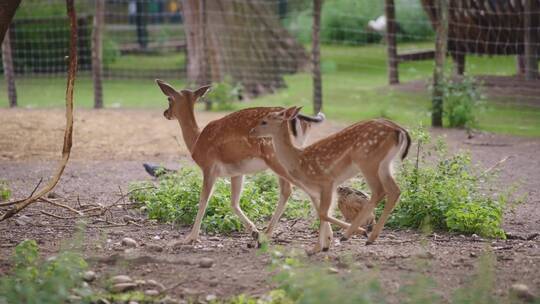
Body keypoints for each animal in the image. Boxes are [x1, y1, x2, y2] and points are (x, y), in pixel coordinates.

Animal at [156, 80, 324, 245]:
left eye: (169, 99)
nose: (165, 113)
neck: (196, 142)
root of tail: (298, 117)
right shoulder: (236, 172)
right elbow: (233, 203)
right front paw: (254, 231)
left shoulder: (209, 166)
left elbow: (203, 200)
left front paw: (190, 237)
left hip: (275, 157)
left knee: (290, 189)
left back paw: (268, 234)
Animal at [249, 107, 410, 252]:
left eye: (264, 121)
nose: (251, 131)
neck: (298, 159)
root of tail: (399, 129)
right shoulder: (321, 188)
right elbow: (321, 213)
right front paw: (320, 247)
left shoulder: (326, 181)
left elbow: (322, 213)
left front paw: (316, 248)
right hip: (385, 164)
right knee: (394, 190)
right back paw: (370, 237)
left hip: (367, 160)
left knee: (379, 191)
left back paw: (350, 235)